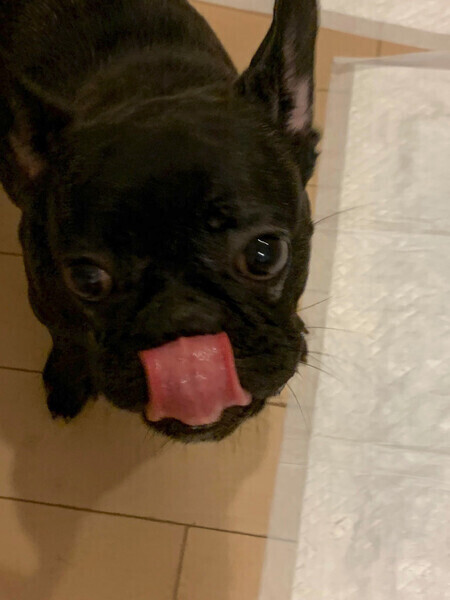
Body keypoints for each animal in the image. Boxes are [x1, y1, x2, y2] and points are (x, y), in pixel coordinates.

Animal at [0, 0, 318, 442]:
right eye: (86, 279)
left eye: (264, 255)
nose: (184, 321)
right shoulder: (44, 290)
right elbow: (66, 336)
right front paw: (69, 378)